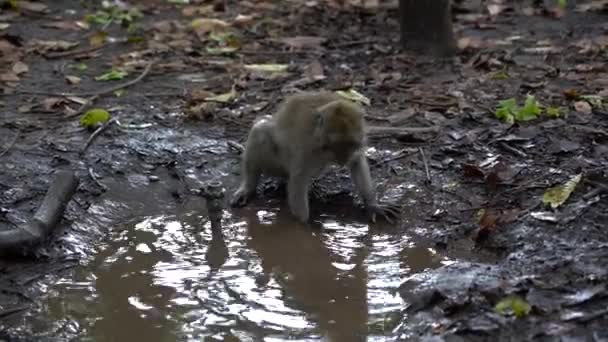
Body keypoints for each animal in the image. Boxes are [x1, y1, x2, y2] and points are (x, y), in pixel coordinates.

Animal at [230, 91, 402, 224]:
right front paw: (305, 228)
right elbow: (299, 180)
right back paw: (248, 187)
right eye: (334, 144)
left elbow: (357, 163)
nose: (342, 160)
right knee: (260, 131)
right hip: (276, 164)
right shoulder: (307, 147)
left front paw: (373, 205)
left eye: (351, 144)